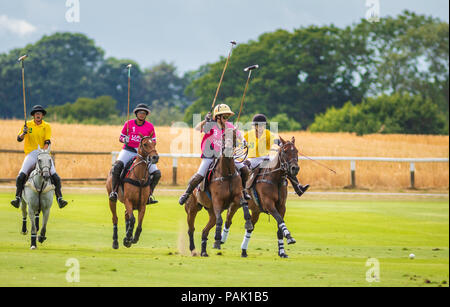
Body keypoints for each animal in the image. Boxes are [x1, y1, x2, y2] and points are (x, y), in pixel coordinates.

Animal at [184, 129, 253, 258]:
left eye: (234, 136)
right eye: (224, 136)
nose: (229, 149)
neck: (227, 173)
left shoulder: (237, 196)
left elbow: (244, 204)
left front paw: (248, 224)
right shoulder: (217, 201)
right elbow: (220, 220)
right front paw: (217, 239)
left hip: (211, 212)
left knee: (205, 231)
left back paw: (204, 251)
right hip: (192, 209)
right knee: (191, 230)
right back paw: (193, 250)